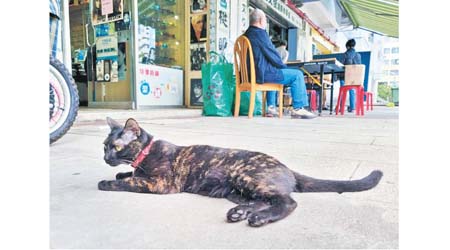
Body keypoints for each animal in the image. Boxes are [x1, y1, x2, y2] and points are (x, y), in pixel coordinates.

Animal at [99, 117, 384, 227]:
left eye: (116, 147)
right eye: (104, 146)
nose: (105, 158)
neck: (144, 155)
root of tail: (284, 165)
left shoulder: (160, 183)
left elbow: (129, 182)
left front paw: (107, 182)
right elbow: (129, 176)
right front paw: (121, 174)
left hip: (245, 175)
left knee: (287, 201)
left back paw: (258, 218)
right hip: (236, 190)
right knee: (263, 200)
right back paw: (240, 213)